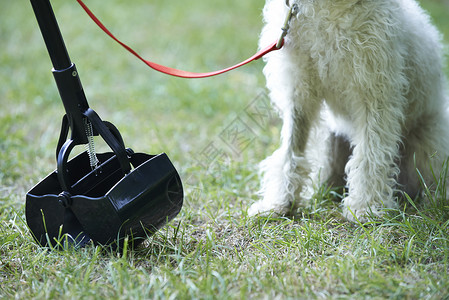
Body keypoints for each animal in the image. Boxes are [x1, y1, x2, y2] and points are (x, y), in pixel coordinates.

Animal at [248, 0, 448, 221]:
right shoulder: (299, 92)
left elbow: (370, 155)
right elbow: (291, 151)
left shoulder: (375, 93)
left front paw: (365, 207)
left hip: (429, 146)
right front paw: (279, 202)